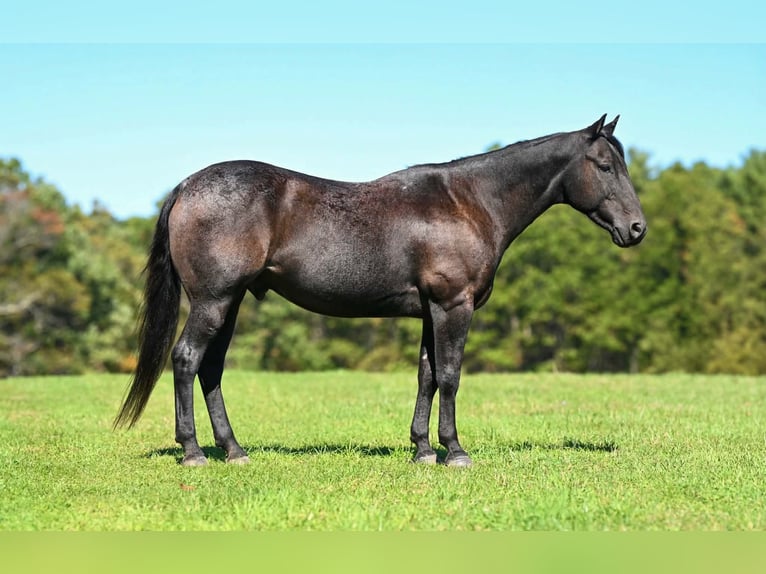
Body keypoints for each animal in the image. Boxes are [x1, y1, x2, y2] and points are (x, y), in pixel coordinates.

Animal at [114, 114, 646, 467]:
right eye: (604, 165)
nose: (637, 229)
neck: (470, 202)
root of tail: (188, 185)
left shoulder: (431, 311)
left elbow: (427, 377)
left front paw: (423, 450)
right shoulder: (453, 306)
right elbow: (450, 376)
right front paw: (455, 451)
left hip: (231, 302)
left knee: (211, 369)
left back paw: (234, 450)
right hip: (214, 300)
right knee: (187, 359)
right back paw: (192, 453)